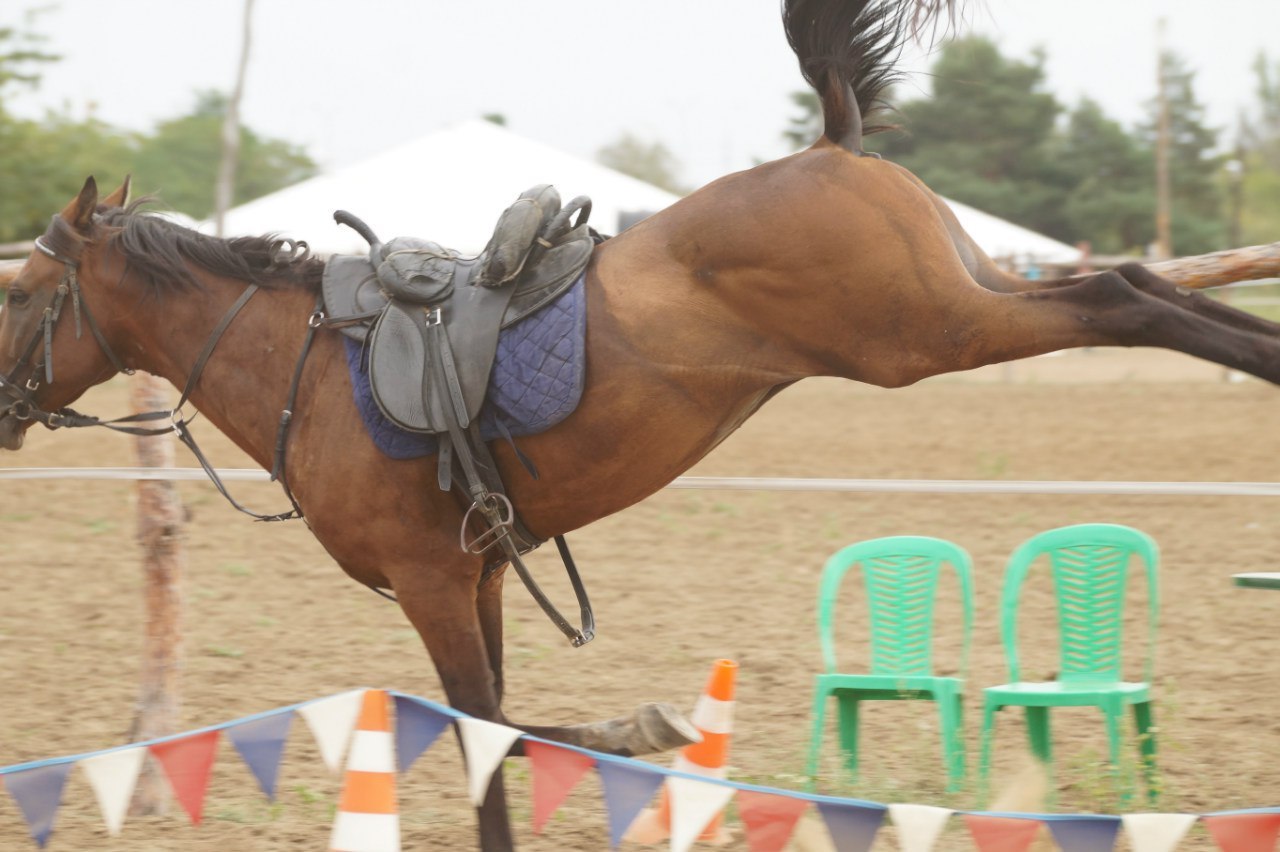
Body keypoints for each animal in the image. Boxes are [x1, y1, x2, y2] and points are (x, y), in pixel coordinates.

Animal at [0, 0, 1274, 844]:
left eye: (19, 290)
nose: (5, 407)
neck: (302, 368)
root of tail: (828, 143)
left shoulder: (430, 583)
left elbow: (479, 733)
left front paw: (633, 734)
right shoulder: (480, 577)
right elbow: (506, 726)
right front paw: (643, 728)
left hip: (932, 334)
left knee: (1122, 295)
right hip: (970, 300)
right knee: (1141, 285)